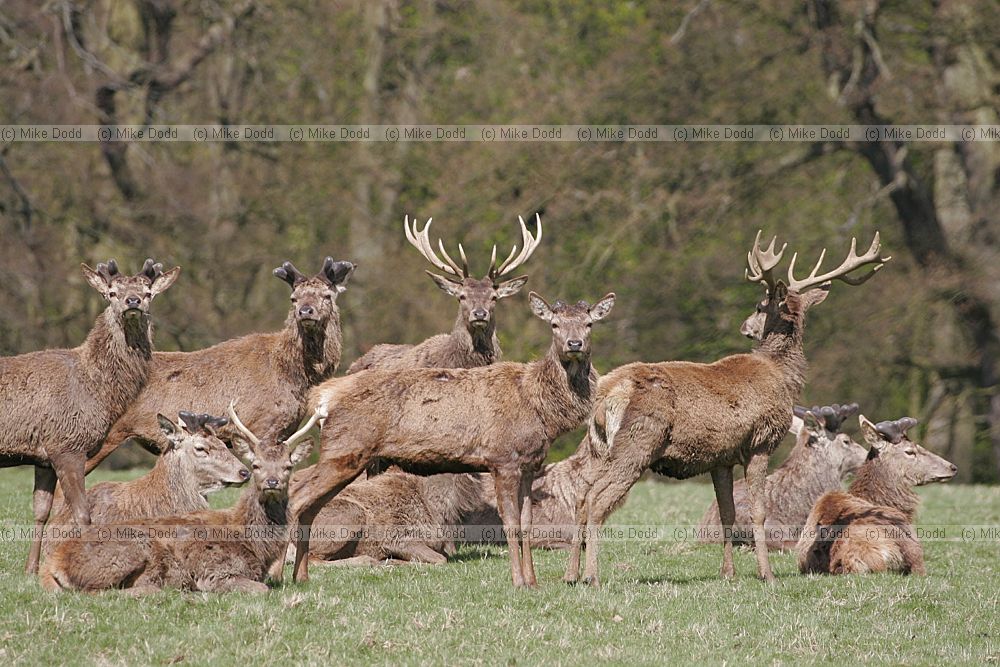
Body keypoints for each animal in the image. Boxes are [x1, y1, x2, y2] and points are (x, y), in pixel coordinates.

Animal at [0, 258, 179, 575]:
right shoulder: (68, 445)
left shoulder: (44, 455)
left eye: (148, 293)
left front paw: (30, 569)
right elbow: (83, 513)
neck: (96, 389)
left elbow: (41, 511)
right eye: (111, 292)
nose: (132, 301)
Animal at [287, 291, 616, 588]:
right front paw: (518, 582)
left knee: (310, 506)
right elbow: (510, 524)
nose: (575, 344)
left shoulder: (528, 465)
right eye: (554, 324)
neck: (540, 408)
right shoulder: (502, 459)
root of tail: (323, 395)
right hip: (344, 448)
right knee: (297, 498)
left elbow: (526, 524)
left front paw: (533, 582)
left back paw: (301, 576)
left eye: (589, 323)